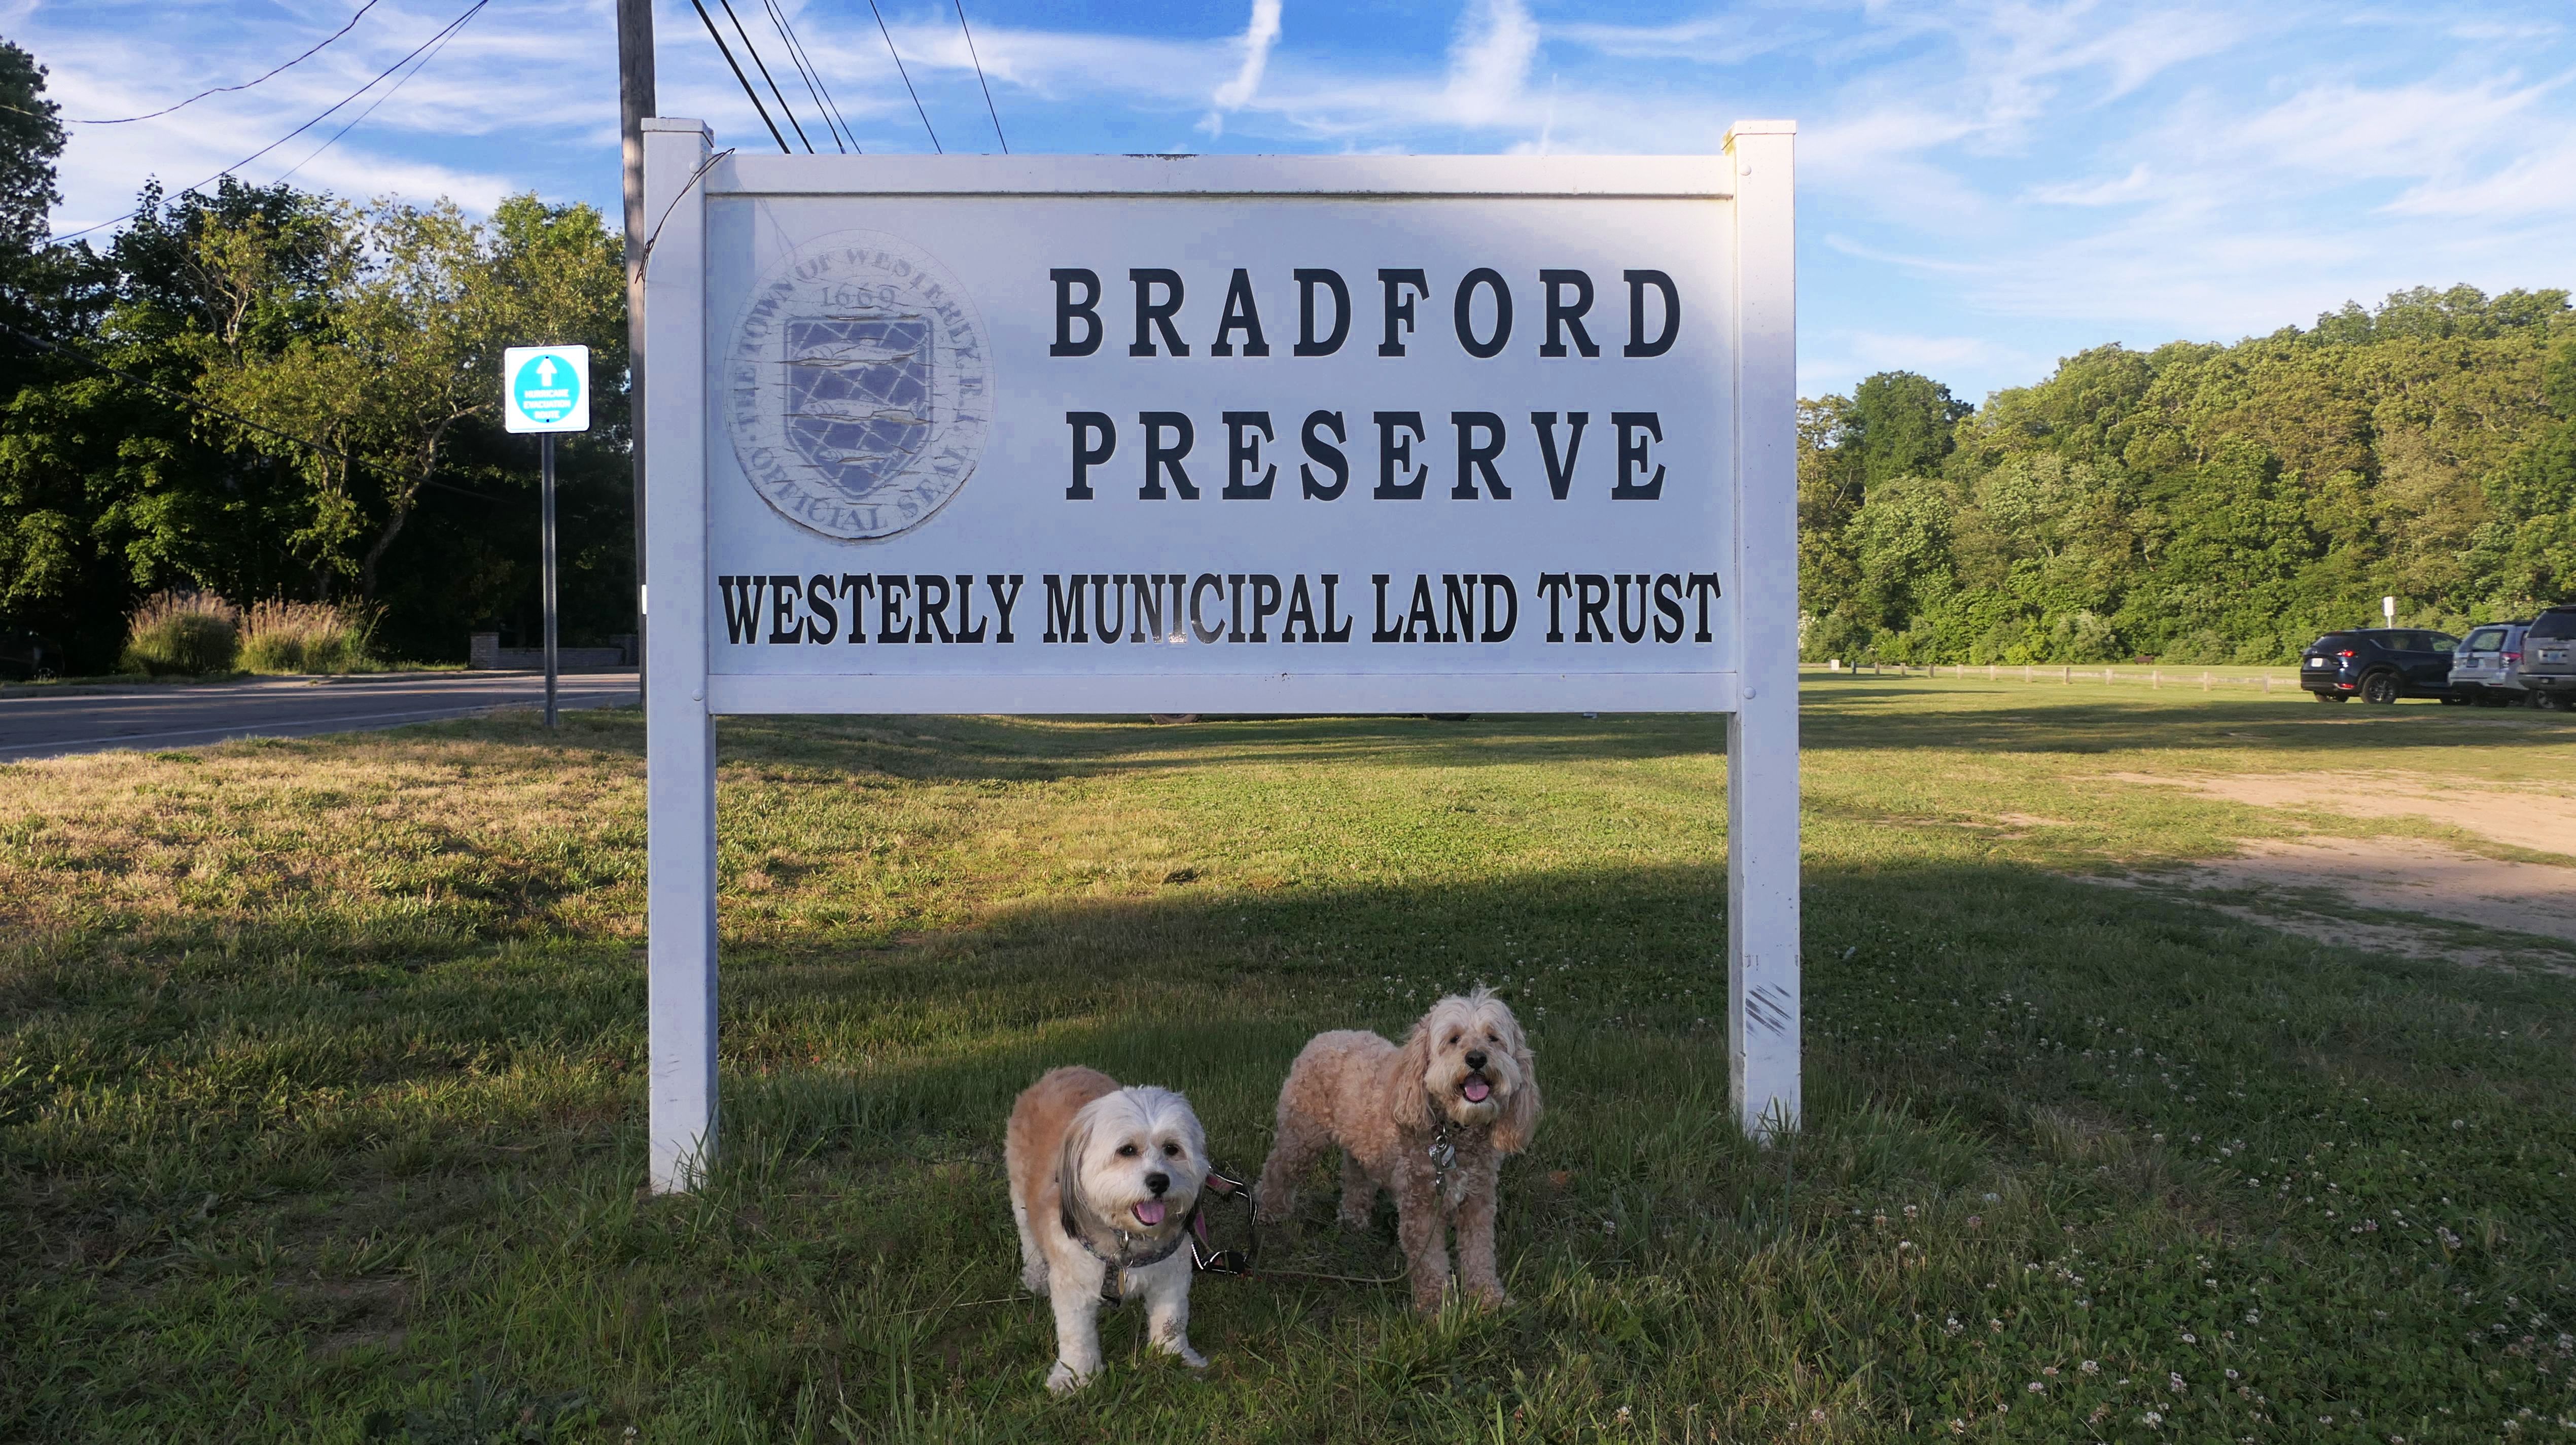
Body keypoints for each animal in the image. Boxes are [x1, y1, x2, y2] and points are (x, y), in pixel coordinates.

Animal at [1005, 1066, 1210, 1393]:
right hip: (1020, 1195)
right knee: (1029, 1239)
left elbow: (1172, 1318)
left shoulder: (1173, 1271)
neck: (1126, 1238)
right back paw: (1035, 1276)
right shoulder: (1072, 1284)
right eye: (1127, 1150)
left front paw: (1174, 1356)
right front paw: (1074, 1376)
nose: (1159, 1181)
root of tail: (1060, 1071)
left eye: (1172, 1149)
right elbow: (1076, 1336)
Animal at [1256, 989, 1540, 1313]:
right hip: (1301, 1138)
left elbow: (1480, 1253)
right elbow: (1430, 1263)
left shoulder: (1478, 1202)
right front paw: (1436, 1307)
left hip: (1361, 1142)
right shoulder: (1421, 1206)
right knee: (1277, 1170)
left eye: (1493, 1038)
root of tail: (1325, 1036)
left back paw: (1353, 1217)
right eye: (1454, 1039)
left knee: (1356, 1174)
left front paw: (1488, 1297)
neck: (1451, 1134)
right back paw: (1269, 1211)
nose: (1477, 1058)